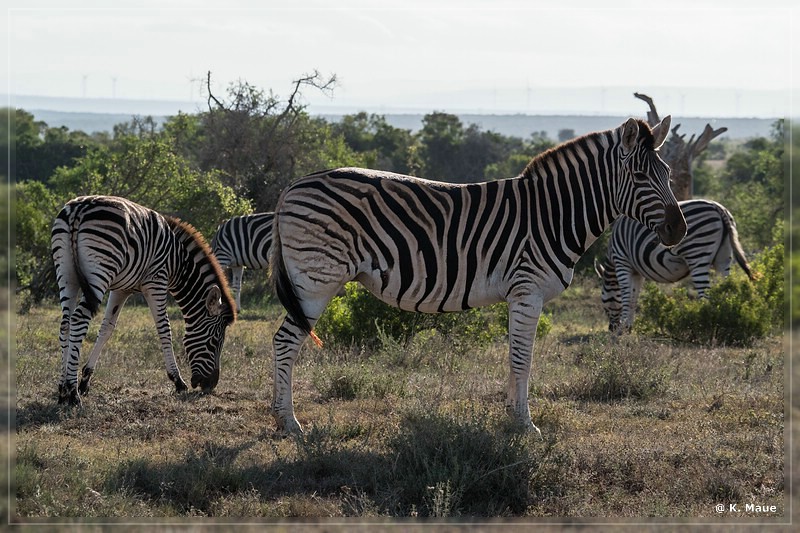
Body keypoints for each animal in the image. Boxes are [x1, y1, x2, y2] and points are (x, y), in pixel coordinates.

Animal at [50, 195, 236, 404]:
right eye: (214, 342)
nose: (210, 386)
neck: (178, 261)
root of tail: (80, 208)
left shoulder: (121, 289)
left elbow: (106, 329)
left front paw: (85, 380)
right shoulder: (156, 281)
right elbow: (164, 329)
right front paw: (178, 381)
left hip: (67, 273)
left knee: (65, 324)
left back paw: (63, 390)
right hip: (99, 271)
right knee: (79, 319)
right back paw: (72, 393)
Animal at [268, 115, 688, 432]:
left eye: (667, 172)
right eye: (639, 177)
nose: (678, 229)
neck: (553, 214)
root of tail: (292, 186)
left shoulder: (519, 294)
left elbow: (515, 357)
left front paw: (512, 417)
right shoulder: (528, 290)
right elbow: (523, 359)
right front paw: (525, 425)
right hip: (316, 279)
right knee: (285, 341)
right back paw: (288, 423)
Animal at [592, 200, 756, 332]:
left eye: (603, 300)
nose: (611, 329)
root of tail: (718, 208)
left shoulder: (622, 261)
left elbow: (626, 295)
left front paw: (623, 329)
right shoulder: (636, 272)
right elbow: (633, 297)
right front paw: (628, 327)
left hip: (698, 253)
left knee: (705, 294)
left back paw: (704, 323)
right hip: (724, 257)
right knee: (725, 287)